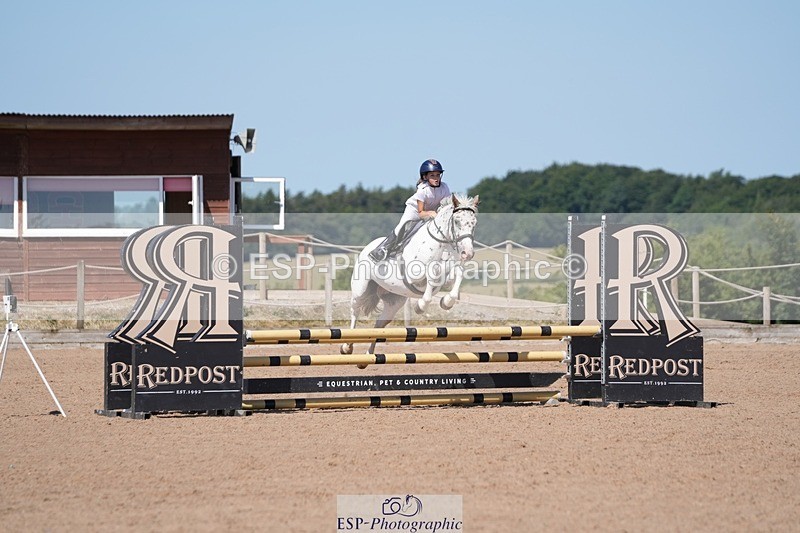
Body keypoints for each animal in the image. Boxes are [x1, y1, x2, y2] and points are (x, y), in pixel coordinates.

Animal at [341, 193, 480, 356]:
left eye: (474, 223)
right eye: (457, 221)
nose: (467, 253)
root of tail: (367, 247)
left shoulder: (449, 274)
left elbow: (457, 276)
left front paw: (446, 302)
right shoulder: (416, 275)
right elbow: (432, 275)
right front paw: (420, 306)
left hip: (394, 301)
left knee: (380, 324)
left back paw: (368, 355)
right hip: (360, 290)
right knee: (355, 311)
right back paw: (346, 347)